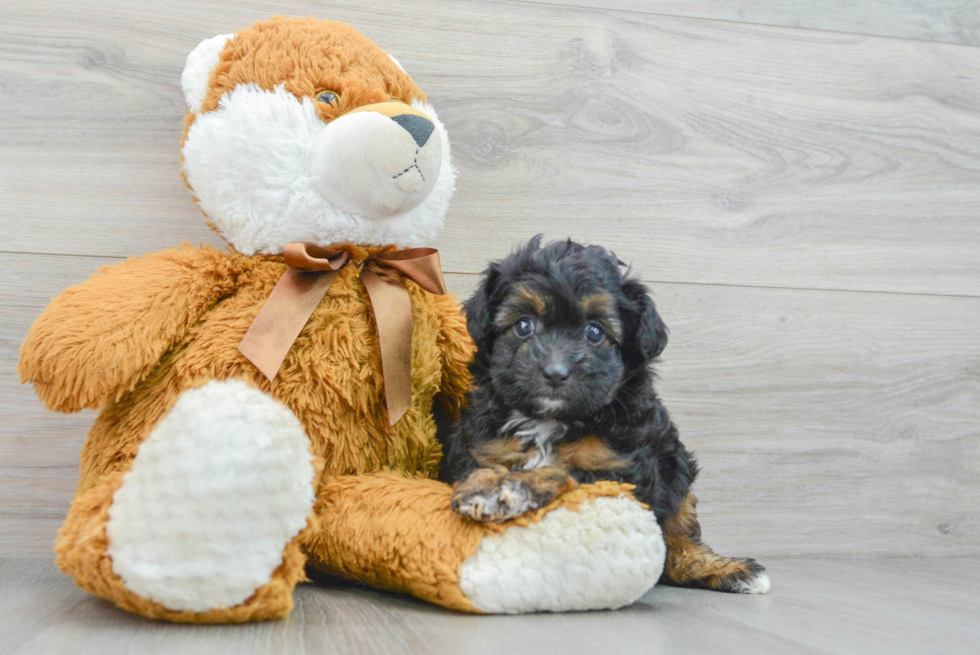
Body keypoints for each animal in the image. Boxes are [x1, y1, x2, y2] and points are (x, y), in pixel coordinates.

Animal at [440, 237, 768, 596]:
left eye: (594, 332)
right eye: (524, 325)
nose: (555, 373)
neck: (552, 420)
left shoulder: (623, 471)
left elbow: (563, 470)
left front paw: (511, 488)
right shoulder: (482, 446)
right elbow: (488, 465)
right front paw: (486, 484)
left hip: (675, 467)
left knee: (677, 541)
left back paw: (727, 569)